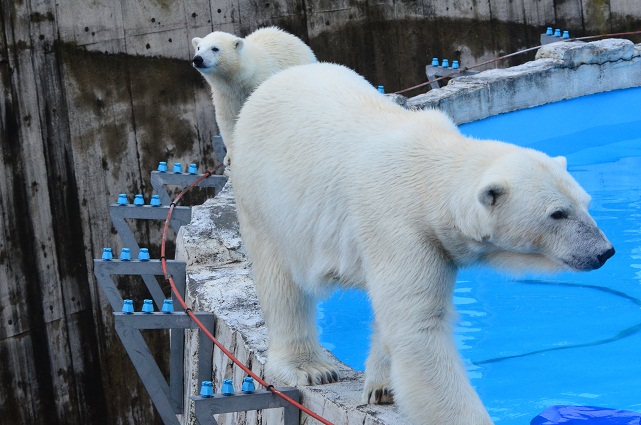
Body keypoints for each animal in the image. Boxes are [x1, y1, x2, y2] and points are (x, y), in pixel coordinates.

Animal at [192, 26, 318, 166]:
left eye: (215, 48)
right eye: (199, 48)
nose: (198, 59)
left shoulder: (259, 83)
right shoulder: (225, 94)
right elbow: (228, 118)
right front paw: (230, 157)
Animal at [231, 63, 616, 424]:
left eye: (585, 203)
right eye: (557, 214)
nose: (604, 251)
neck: (429, 176)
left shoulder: (435, 243)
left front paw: (383, 385)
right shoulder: (401, 227)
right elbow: (419, 329)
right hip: (262, 197)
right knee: (281, 283)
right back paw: (310, 367)